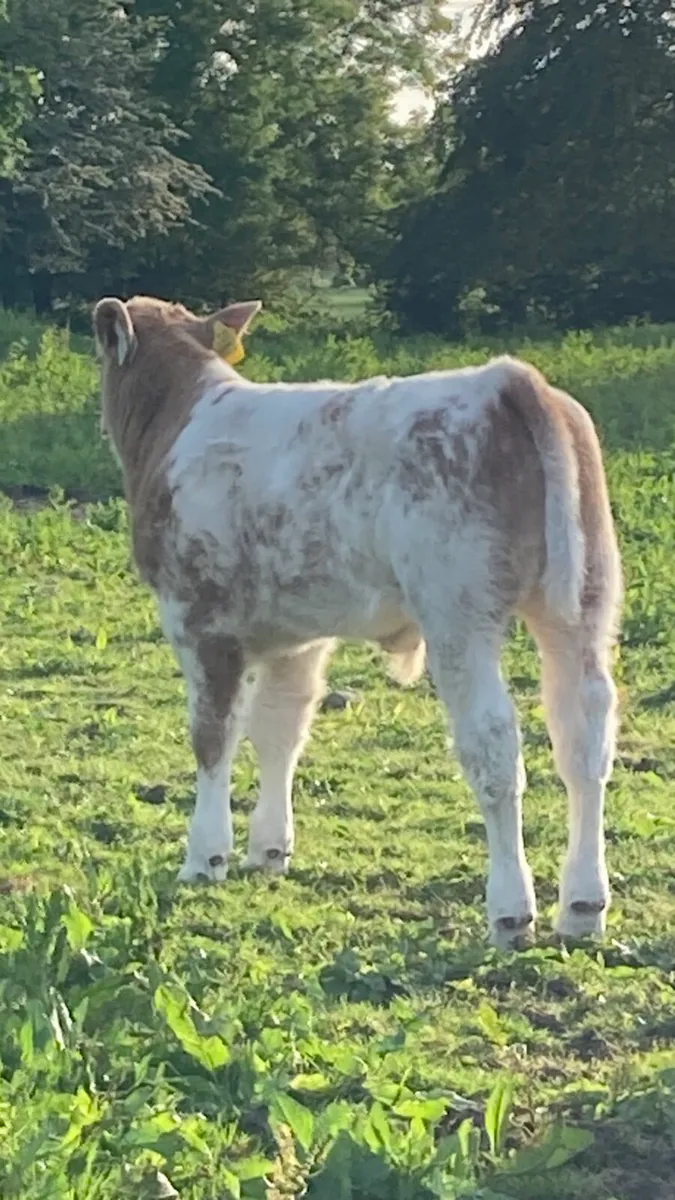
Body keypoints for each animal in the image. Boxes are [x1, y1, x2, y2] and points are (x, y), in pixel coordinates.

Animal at [93, 294, 622, 949]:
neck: (179, 420)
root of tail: (506, 380)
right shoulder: (298, 634)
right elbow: (281, 730)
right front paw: (269, 849)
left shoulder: (199, 619)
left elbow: (213, 735)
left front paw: (205, 855)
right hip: (583, 606)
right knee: (584, 740)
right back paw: (583, 906)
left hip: (458, 614)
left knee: (495, 746)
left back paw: (510, 910)